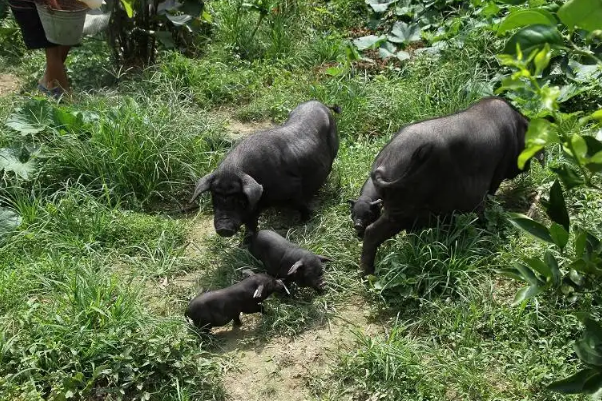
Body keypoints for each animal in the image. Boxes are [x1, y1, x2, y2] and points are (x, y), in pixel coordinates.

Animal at [188, 100, 338, 236]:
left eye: (238, 199)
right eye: (214, 196)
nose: (223, 228)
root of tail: (320, 103)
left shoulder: (294, 187)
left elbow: (300, 204)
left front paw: (304, 221)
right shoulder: (253, 206)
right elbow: (251, 224)